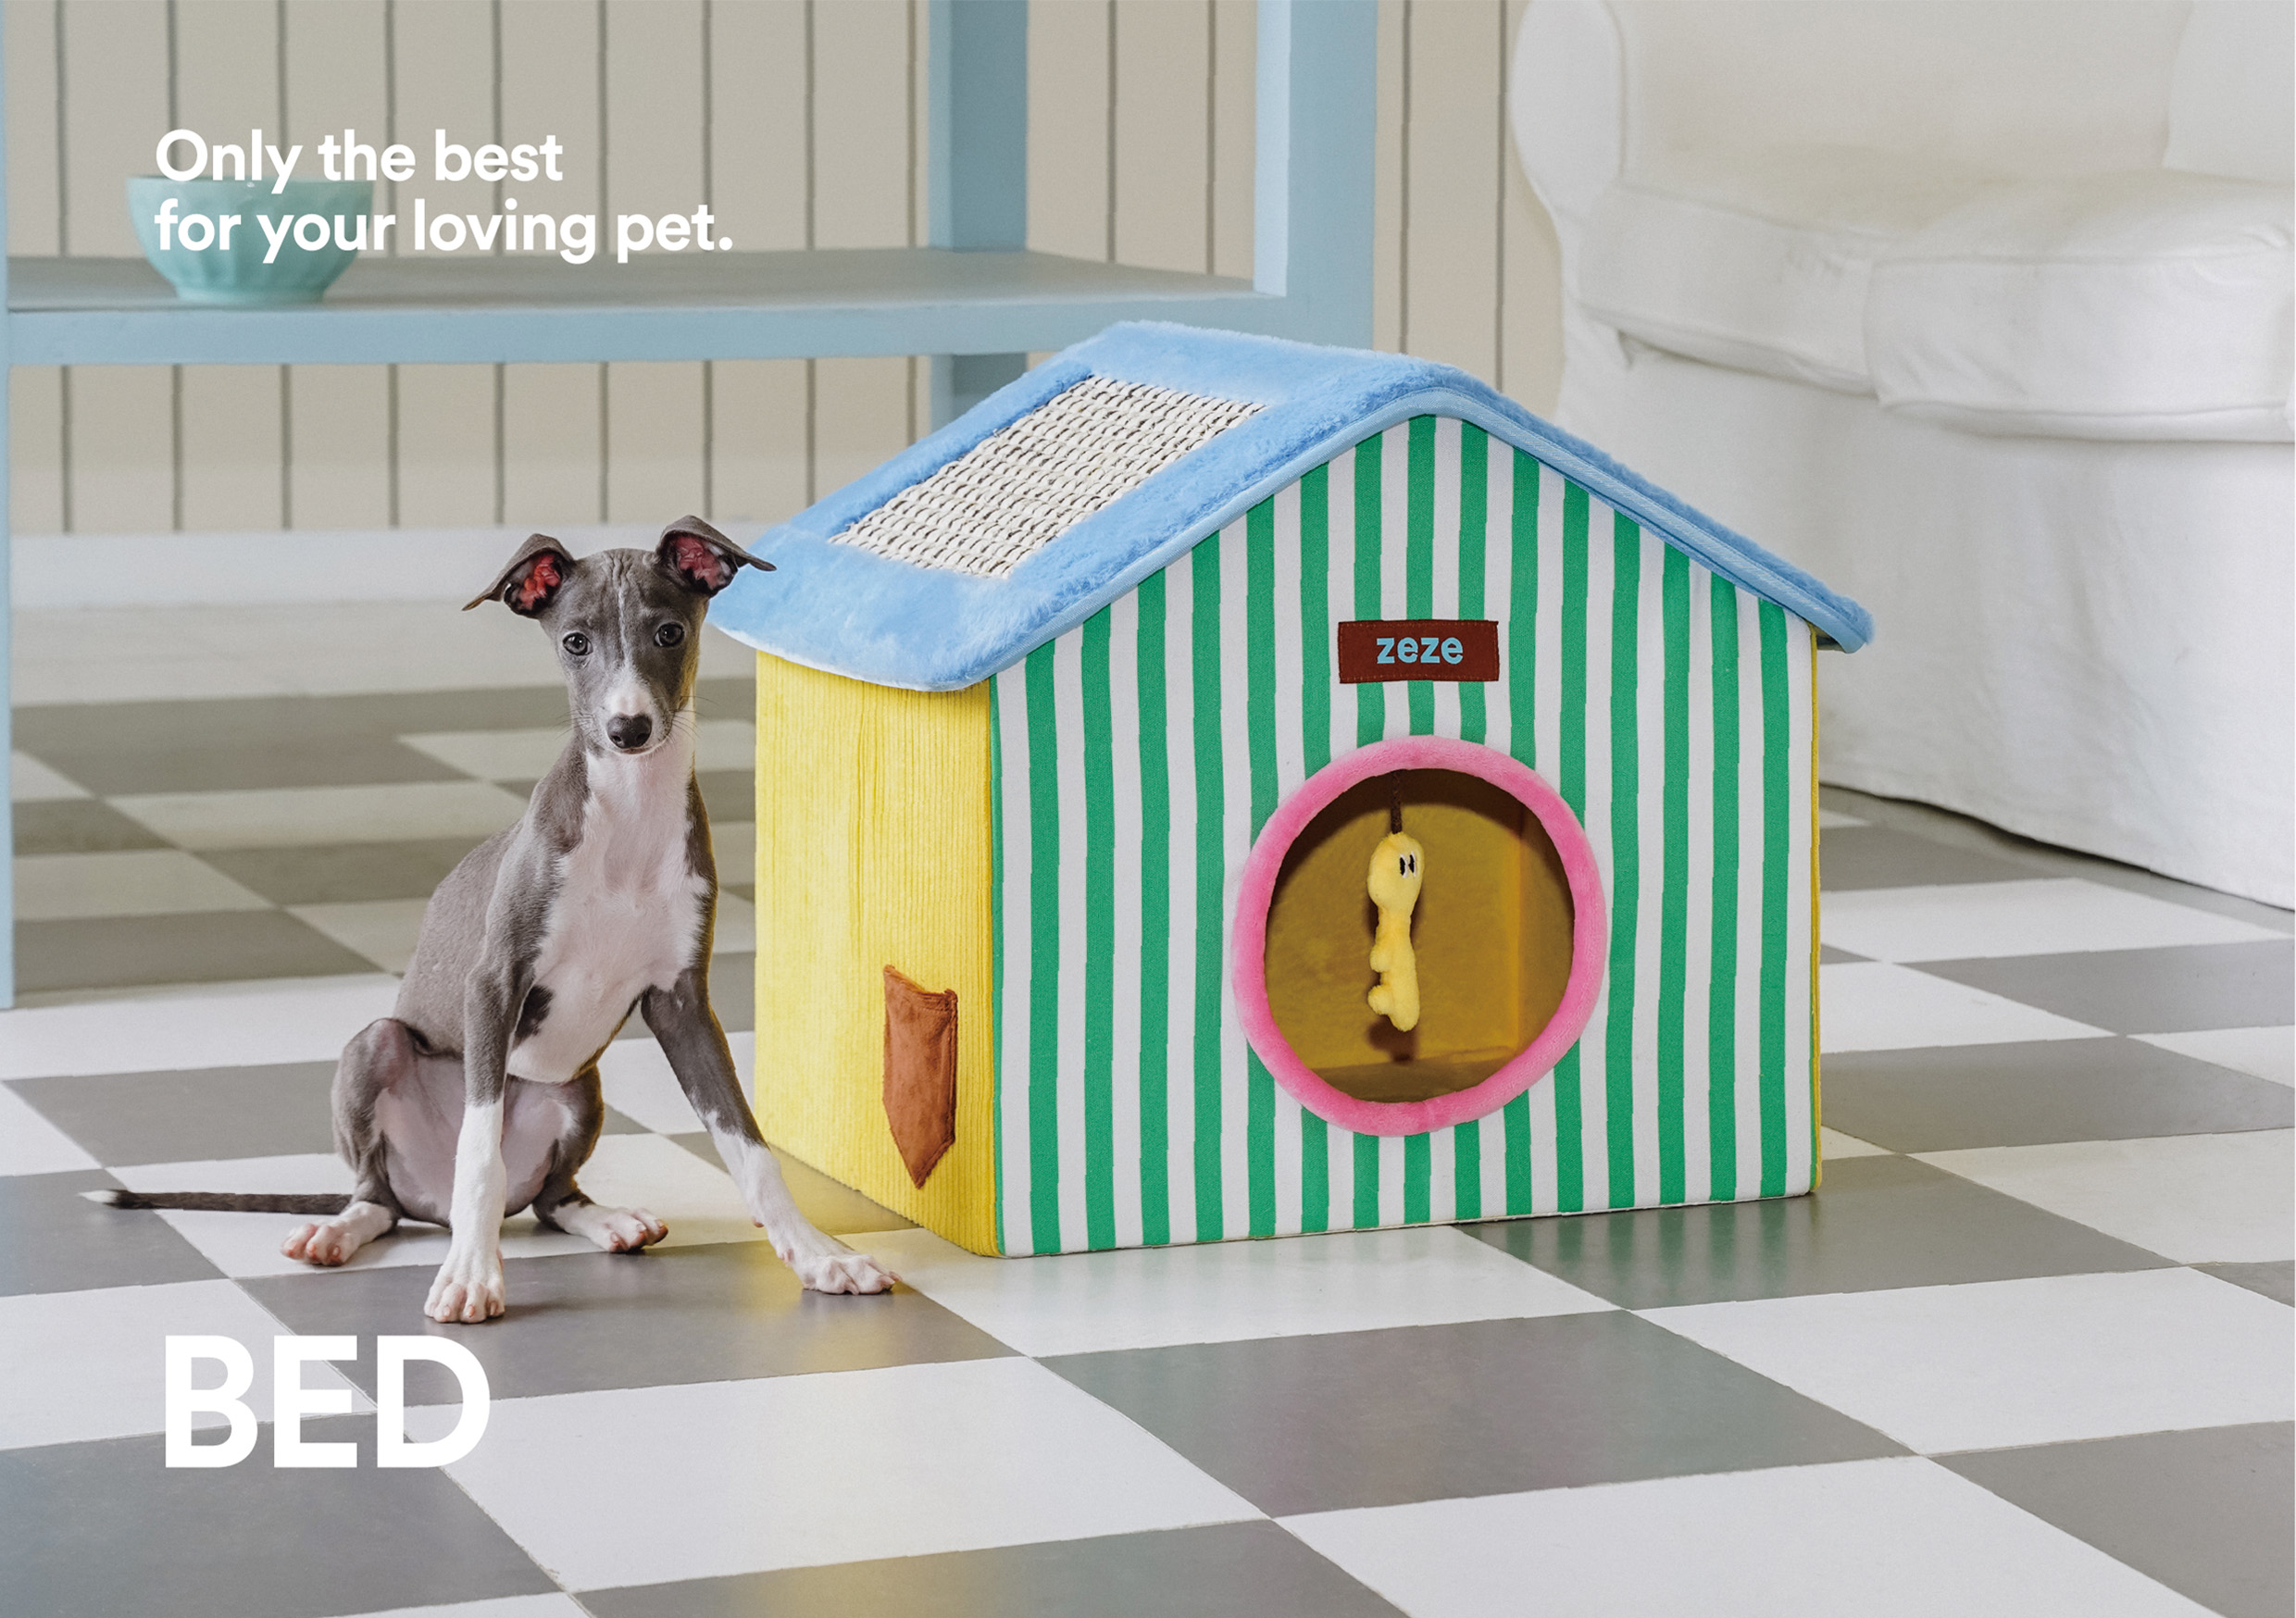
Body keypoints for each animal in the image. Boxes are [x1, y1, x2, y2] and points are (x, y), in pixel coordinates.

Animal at [95, 518, 895, 1321]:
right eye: (575, 642)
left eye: (669, 631)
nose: (628, 728)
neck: (628, 819)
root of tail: (427, 1205)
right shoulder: (495, 983)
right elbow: (478, 1151)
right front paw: (472, 1276)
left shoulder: (682, 1003)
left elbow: (750, 1147)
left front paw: (819, 1256)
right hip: (376, 1050)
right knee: (381, 1195)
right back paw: (345, 1232)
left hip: (578, 1087)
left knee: (552, 1197)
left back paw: (609, 1221)